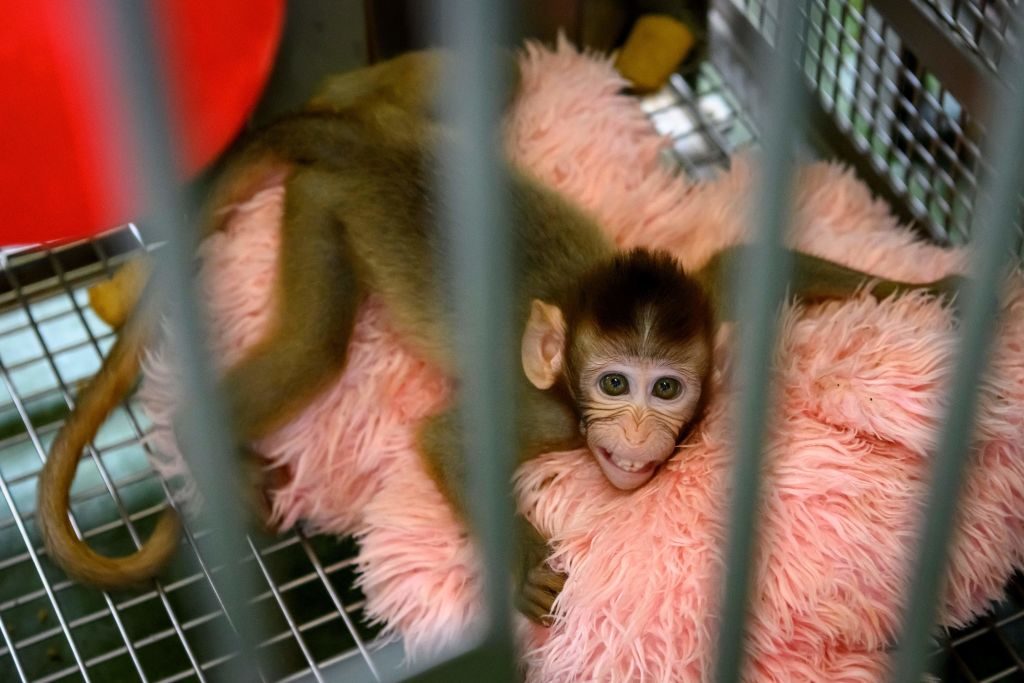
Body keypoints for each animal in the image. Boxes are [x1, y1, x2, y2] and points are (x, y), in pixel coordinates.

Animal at [34, 48, 958, 626]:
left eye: (666, 387)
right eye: (613, 384)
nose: (635, 431)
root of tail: (359, 138)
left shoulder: (708, 296)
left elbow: (750, 260)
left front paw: (937, 289)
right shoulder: (545, 411)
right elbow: (448, 439)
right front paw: (519, 567)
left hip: (394, 113)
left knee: (495, 71)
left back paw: (340, 88)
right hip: (321, 208)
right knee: (318, 348)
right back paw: (207, 437)